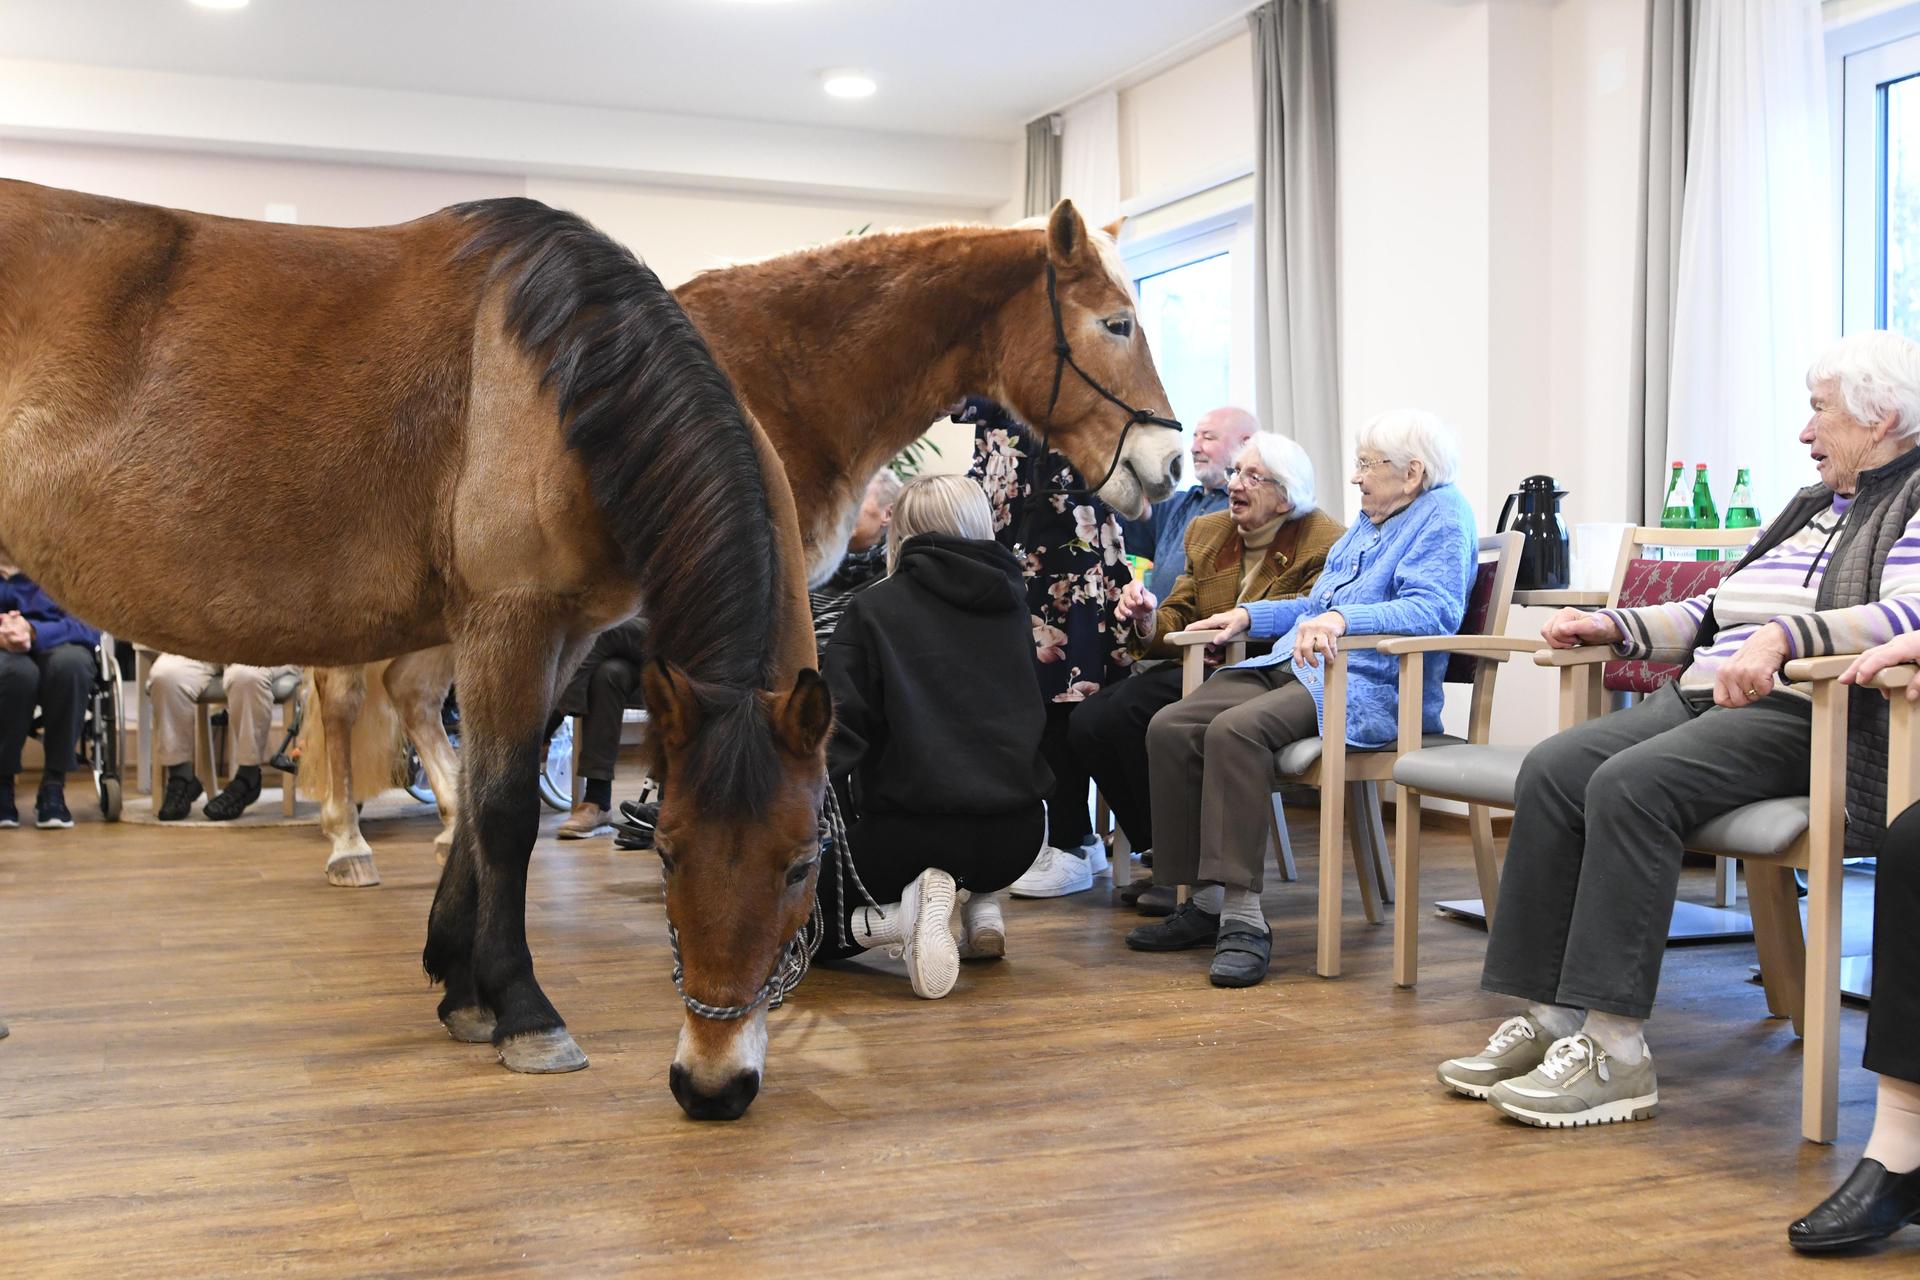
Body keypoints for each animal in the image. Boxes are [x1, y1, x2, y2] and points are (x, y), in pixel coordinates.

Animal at [303, 200, 1188, 890]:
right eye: (1116, 323)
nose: (1171, 461)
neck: (788, 374)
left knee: (413, 695)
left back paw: (454, 823)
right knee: (345, 697)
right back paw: (348, 841)